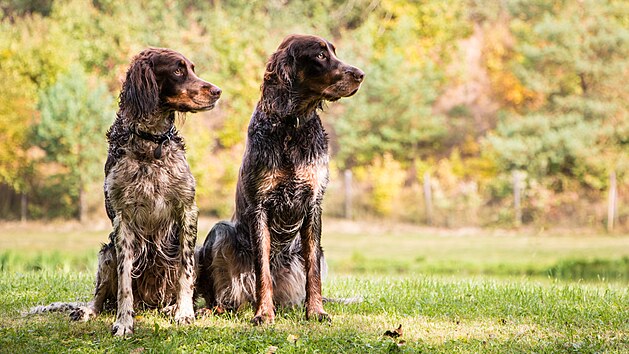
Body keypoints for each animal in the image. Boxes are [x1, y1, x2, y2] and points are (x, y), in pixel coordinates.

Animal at [28, 48, 221, 336]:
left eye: (192, 68)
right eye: (178, 70)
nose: (217, 91)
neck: (151, 144)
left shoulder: (188, 210)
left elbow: (185, 273)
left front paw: (185, 313)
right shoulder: (123, 218)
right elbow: (124, 281)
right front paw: (123, 322)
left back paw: (171, 308)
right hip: (107, 253)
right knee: (99, 297)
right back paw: (86, 311)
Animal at [195, 34, 364, 324]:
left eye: (333, 52)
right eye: (320, 55)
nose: (361, 75)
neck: (291, 127)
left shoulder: (313, 204)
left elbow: (313, 271)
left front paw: (316, 310)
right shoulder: (259, 205)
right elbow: (262, 269)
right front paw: (264, 313)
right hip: (221, 232)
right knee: (227, 298)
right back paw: (214, 308)